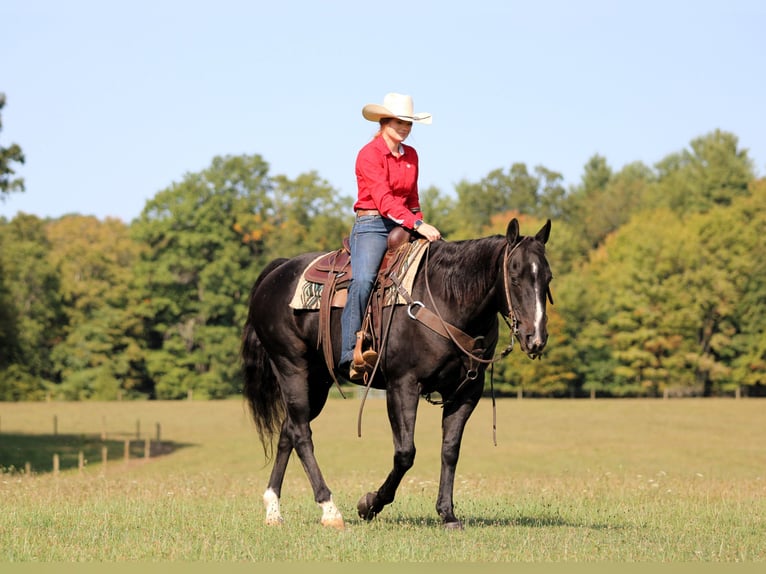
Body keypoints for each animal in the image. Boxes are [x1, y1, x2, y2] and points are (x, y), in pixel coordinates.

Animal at [241, 218, 553, 529]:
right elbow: (405, 453)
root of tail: (278, 271)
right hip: (291, 367)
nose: (536, 338)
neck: (445, 299)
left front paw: (447, 514)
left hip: (317, 379)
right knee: (302, 433)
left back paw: (273, 510)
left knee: (290, 429)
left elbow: (450, 449)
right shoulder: (403, 385)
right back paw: (329, 509)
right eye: (514, 276)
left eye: (547, 278)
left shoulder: (465, 393)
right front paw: (369, 504)